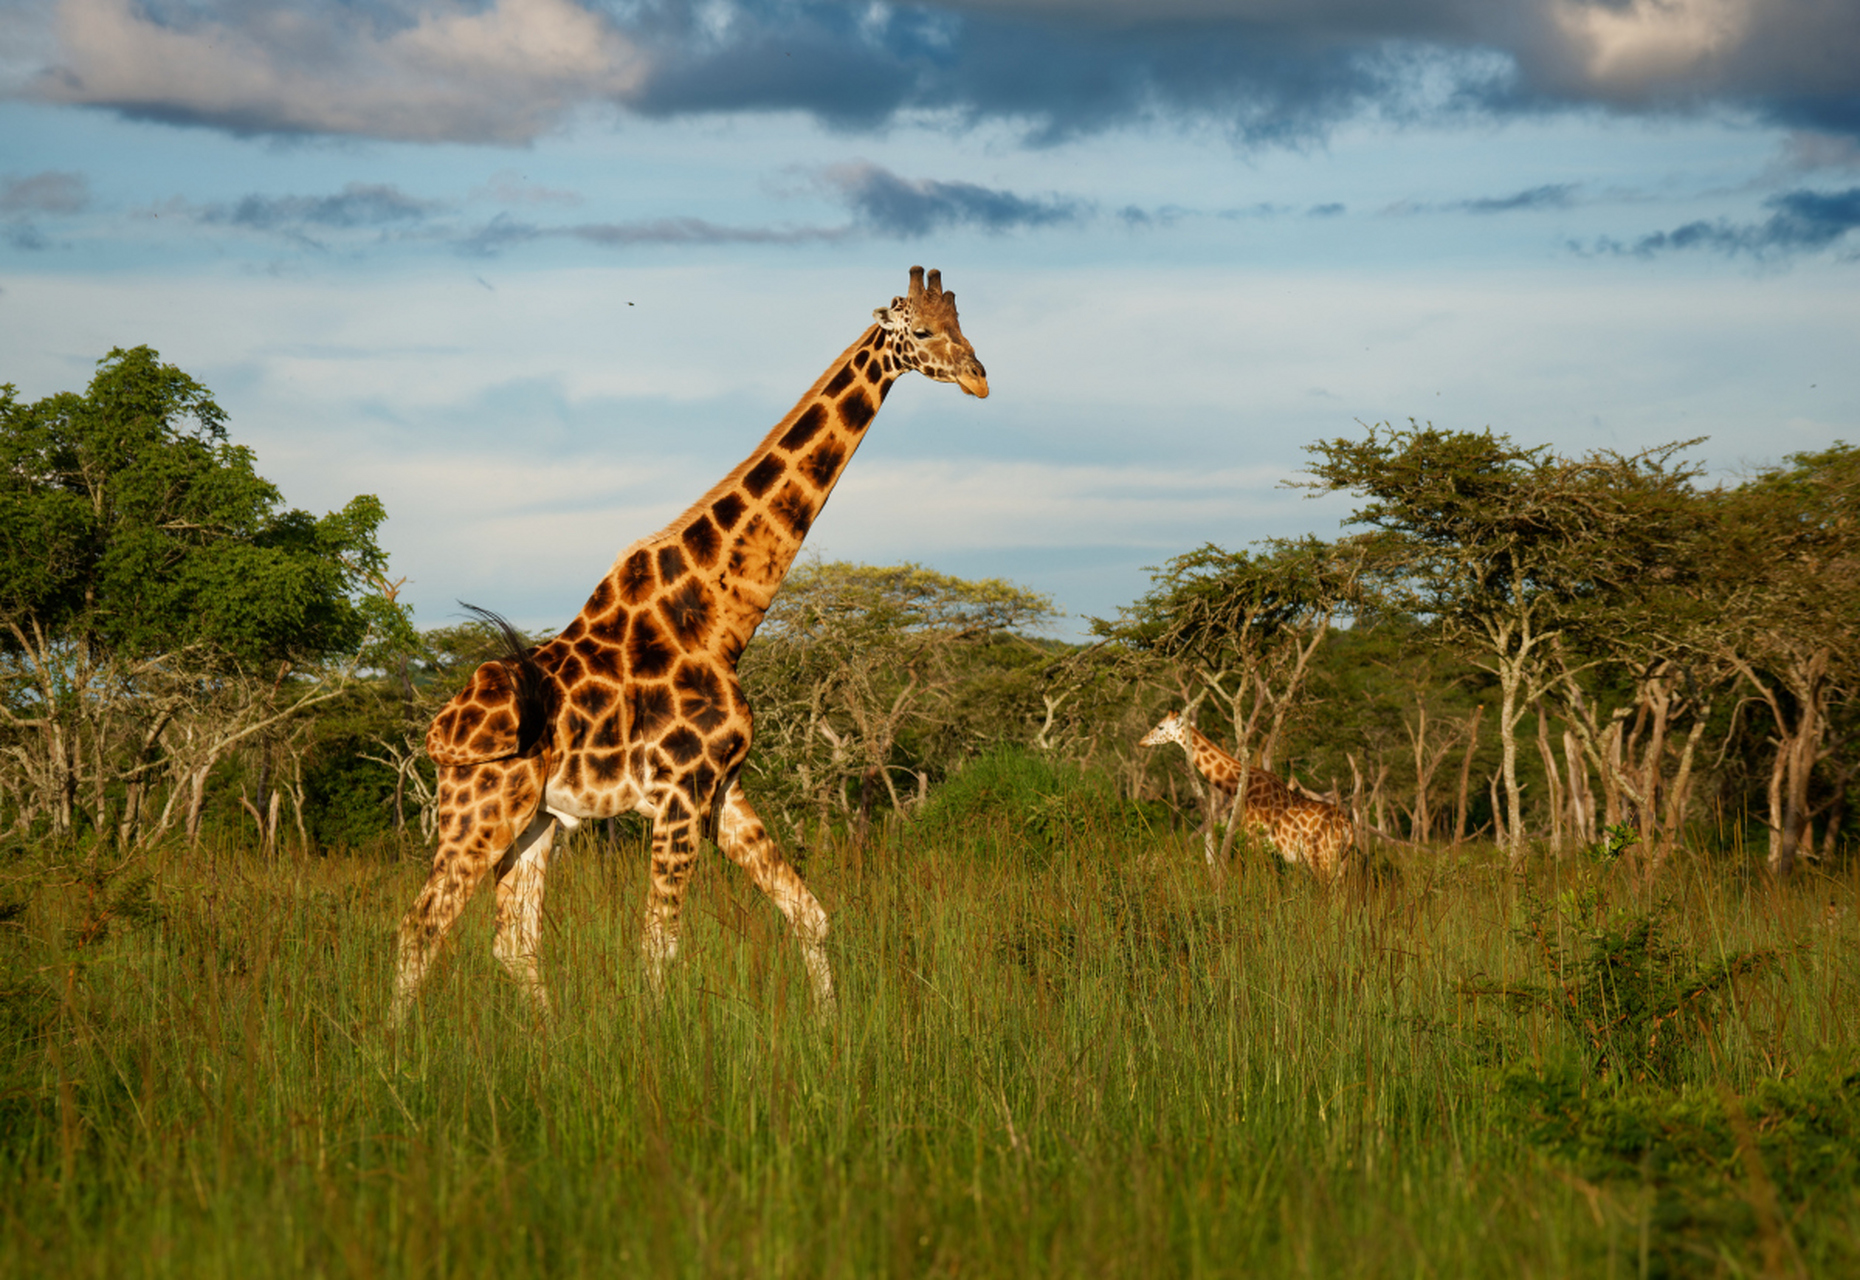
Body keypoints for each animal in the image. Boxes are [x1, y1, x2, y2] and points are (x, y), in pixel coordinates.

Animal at [392, 264, 989, 1012]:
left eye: (965, 324)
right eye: (925, 331)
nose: (979, 377)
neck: (719, 618)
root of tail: (438, 732)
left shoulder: (722, 786)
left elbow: (810, 916)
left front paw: (830, 1028)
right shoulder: (679, 792)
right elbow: (660, 947)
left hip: (536, 818)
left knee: (513, 942)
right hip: (479, 807)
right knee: (421, 927)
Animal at [1130, 710, 1354, 878]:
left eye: (1160, 726)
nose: (1141, 742)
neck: (1242, 786)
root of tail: (1347, 826)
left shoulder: (1252, 840)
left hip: (1321, 858)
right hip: (1341, 861)